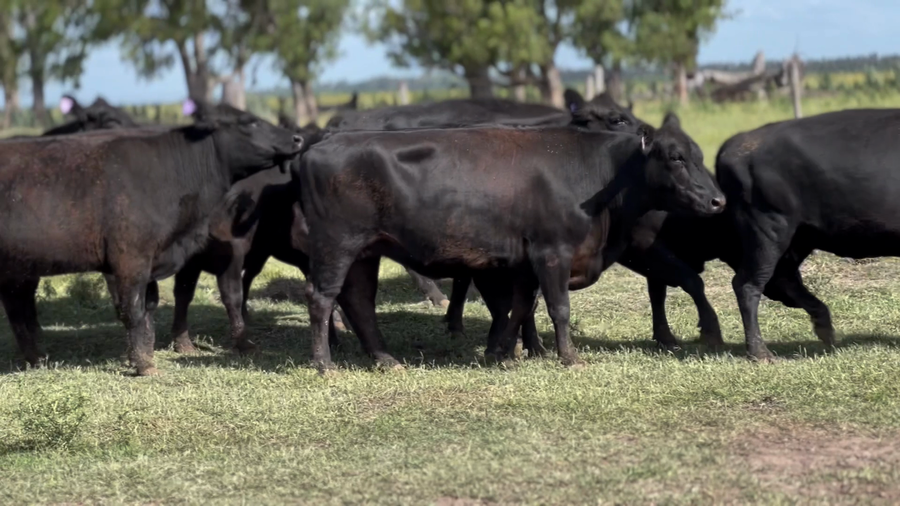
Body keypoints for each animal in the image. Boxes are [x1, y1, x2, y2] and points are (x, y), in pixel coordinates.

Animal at [0, 101, 302, 375]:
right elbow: (133, 310)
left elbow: (150, 309)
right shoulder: (131, 260)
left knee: (17, 310)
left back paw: (36, 357)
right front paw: (143, 365)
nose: (297, 138)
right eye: (249, 122)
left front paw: (144, 355)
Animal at [295, 119, 725, 371]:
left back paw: (386, 360)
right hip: (337, 244)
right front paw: (568, 356)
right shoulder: (551, 252)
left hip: (365, 252)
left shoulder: (524, 262)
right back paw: (324, 363)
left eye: (699, 154)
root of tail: (319, 145)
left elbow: (519, 308)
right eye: (675, 157)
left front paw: (501, 351)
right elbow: (557, 308)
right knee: (321, 298)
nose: (718, 201)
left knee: (359, 302)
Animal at [715, 108, 900, 360]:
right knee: (748, 284)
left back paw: (825, 329)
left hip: (799, 238)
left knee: (784, 278)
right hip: (770, 232)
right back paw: (761, 353)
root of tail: (735, 143)